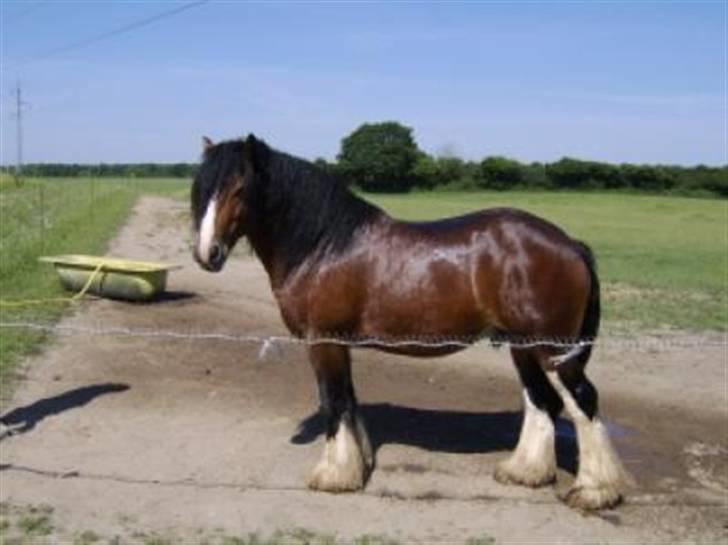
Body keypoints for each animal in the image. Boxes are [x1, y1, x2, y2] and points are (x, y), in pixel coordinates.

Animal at [191, 135, 628, 510]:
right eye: (203, 189)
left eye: (239, 189)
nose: (207, 253)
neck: (324, 246)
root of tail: (570, 245)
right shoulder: (340, 344)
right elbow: (348, 399)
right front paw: (359, 464)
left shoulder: (324, 343)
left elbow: (334, 402)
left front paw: (334, 474)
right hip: (523, 347)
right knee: (542, 401)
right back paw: (525, 472)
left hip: (552, 349)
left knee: (583, 401)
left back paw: (594, 490)